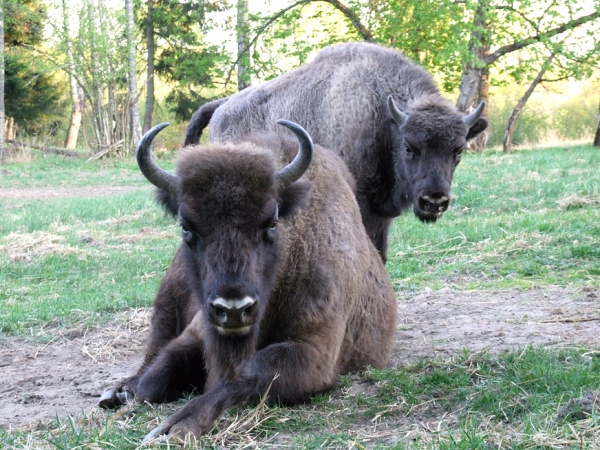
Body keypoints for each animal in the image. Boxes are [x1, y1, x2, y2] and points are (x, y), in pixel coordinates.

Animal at [98, 120, 398, 442]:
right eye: (186, 226)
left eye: (272, 223)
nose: (233, 309)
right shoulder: (198, 330)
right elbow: (164, 366)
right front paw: (127, 395)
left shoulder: (314, 352)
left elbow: (246, 373)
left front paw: (177, 425)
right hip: (167, 302)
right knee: (154, 347)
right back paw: (116, 390)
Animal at [186, 41, 488, 262]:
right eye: (409, 147)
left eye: (458, 151)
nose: (434, 201)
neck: (381, 114)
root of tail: (222, 106)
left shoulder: (381, 215)